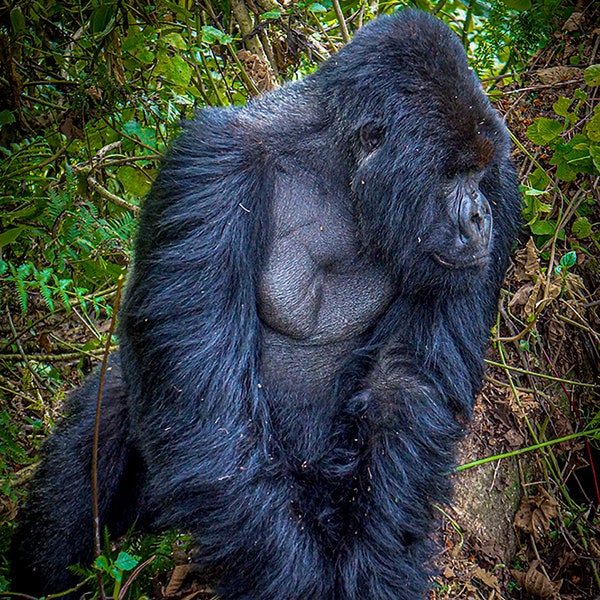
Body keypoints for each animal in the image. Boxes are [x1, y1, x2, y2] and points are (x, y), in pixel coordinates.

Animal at [12, 9, 520, 600]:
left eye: (478, 176)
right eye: (451, 175)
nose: (480, 216)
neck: (341, 167)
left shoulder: (504, 185)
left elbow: (406, 390)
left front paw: (378, 569)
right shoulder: (211, 166)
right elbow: (207, 411)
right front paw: (294, 580)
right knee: (111, 404)